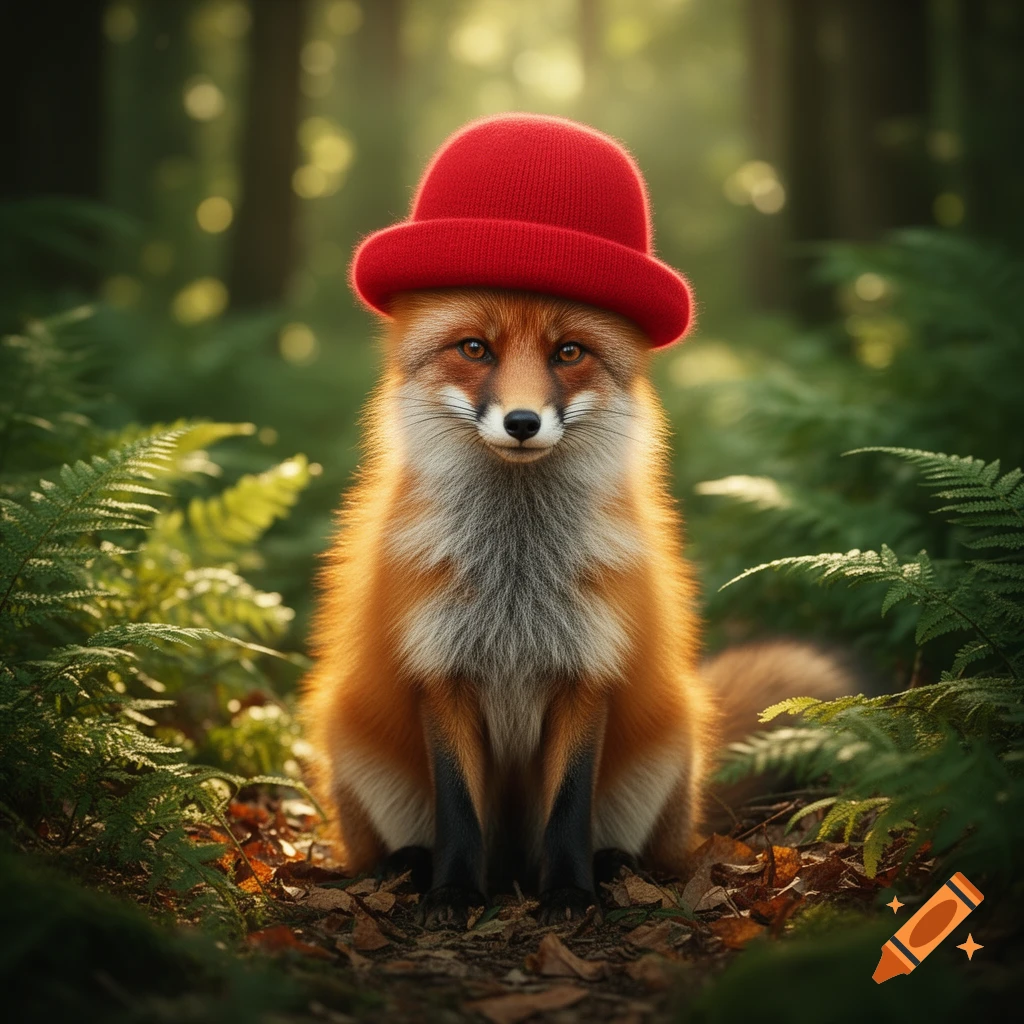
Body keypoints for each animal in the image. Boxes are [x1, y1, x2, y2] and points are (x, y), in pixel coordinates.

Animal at [299, 285, 855, 927]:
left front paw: (568, 892)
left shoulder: (587, 673)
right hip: (354, 747)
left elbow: (568, 808)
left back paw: (614, 868)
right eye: (474, 348)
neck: (515, 582)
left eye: (568, 351)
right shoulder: (441, 674)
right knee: (389, 850)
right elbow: (458, 811)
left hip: (664, 757)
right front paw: (455, 892)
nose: (521, 422)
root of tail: (511, 864)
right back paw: (411, 867)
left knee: (646, 850)